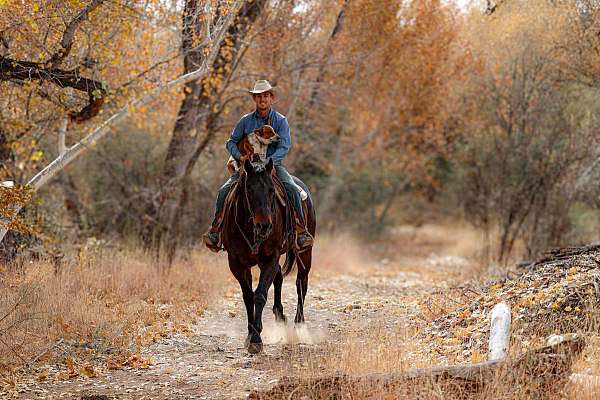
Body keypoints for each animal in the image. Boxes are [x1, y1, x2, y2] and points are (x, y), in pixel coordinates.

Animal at [220, 156, 314, 354]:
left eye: (271, 190)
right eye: (249, 189)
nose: (264, 226)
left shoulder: (270, 257)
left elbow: (260, 294)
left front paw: (256, 340)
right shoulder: (237, 263)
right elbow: (248, 296)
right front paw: (250, 335)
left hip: (305, 253)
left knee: (301, 283)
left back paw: (299, 326)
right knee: (279, 278)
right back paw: (280, 315)